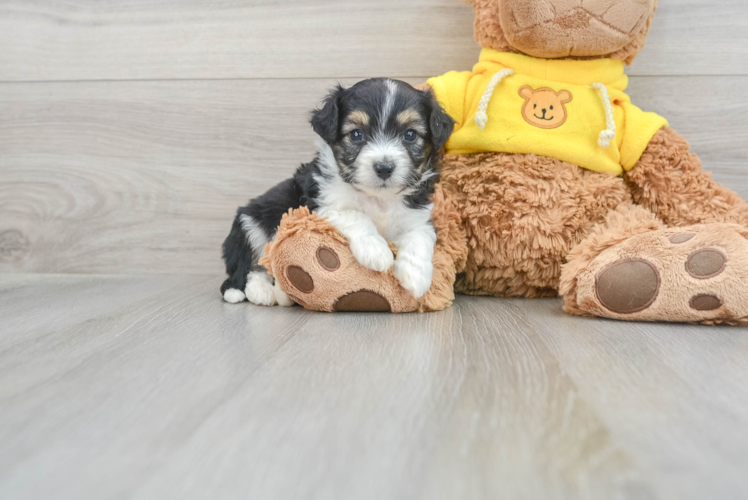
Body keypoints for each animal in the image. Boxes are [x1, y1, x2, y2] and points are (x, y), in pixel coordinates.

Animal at [222, 78, 452, 304]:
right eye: (357, 134)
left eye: (410, 134)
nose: (384, 167)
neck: (378, 197)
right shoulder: (317, 207)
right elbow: (356, 215)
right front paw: (376, 250)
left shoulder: (418, 216)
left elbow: (420, 237)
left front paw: (416, 276)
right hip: (250, 224)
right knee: (249, 269)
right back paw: (260, 292)